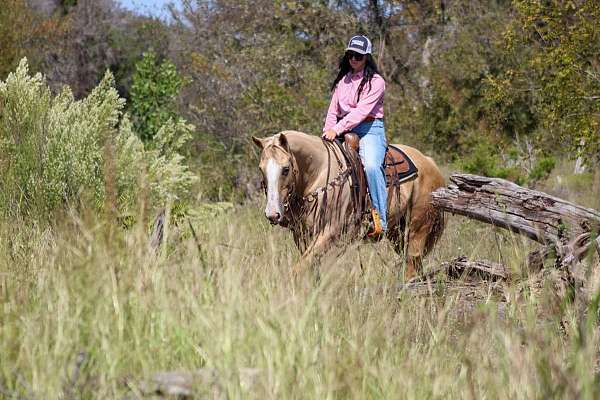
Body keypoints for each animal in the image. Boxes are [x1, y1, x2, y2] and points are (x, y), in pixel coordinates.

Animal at [253, 131, 446, 278]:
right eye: (261, 169)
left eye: (285, 169)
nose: (273, 214)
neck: (320, 174)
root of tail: (430, 162)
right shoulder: (302, 236)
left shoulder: (329, 232)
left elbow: (300, 268)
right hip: (398, 233)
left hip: (418, 228)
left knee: (412, 264)